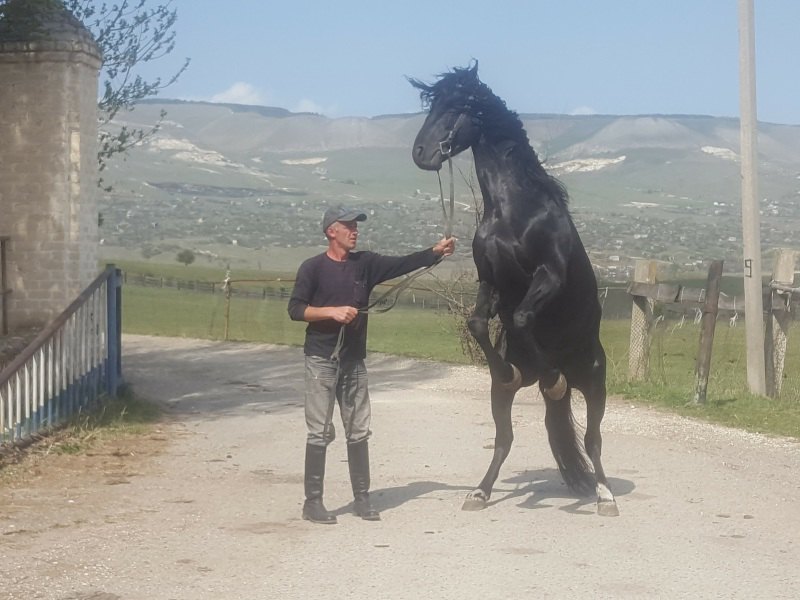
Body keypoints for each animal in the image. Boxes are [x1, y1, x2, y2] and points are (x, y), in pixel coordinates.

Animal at [412, 63, 620, 516]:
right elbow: (476, 323)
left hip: (595, 384)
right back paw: (480, 491)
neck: (514, 209)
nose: (420, 153)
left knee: (594, 441)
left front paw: (553, 378)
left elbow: (524, 317)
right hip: (502, 401)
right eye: (433, 103)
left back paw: (605, 495)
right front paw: (507, 370)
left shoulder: (549, 274)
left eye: (457, 106)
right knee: (505, 439)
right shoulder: (491, 281)